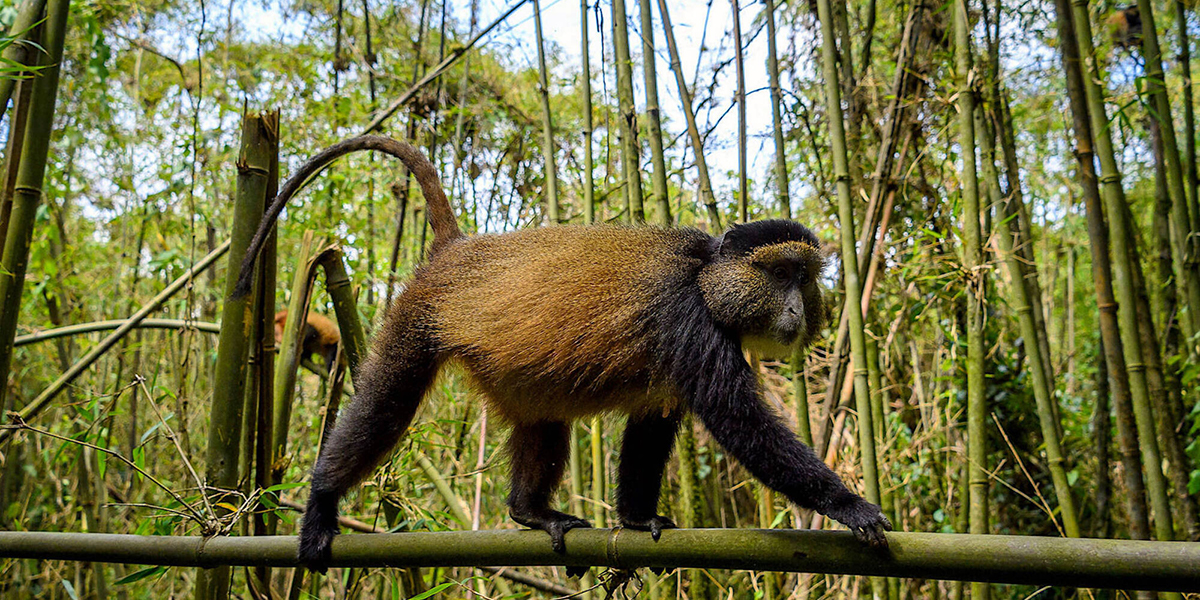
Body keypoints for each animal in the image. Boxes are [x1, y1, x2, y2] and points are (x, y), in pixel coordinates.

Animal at [232, 136, 892, 574]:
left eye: (804, 278)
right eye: (780, 273)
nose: (797, 309)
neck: (707, 279)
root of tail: (457, 251)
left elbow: (652, 428)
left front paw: (636, 520)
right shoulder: (687, 321)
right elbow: (741, 423)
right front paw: (849, 505)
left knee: (543, 422)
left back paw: (530, 513)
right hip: (415, 322)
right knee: (383, 408)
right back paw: (322, 502)